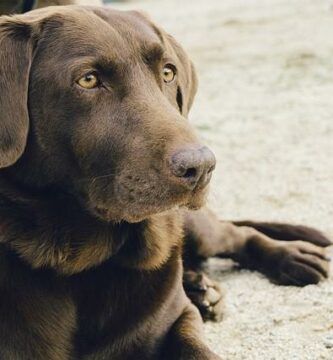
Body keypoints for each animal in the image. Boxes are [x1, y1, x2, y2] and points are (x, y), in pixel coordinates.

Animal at [0, 5, 330, 360]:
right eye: (88, 79)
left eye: (168, 73)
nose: (201, 166)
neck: (82, 264)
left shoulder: (176, 319)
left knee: (236, 234)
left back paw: (291, 257)